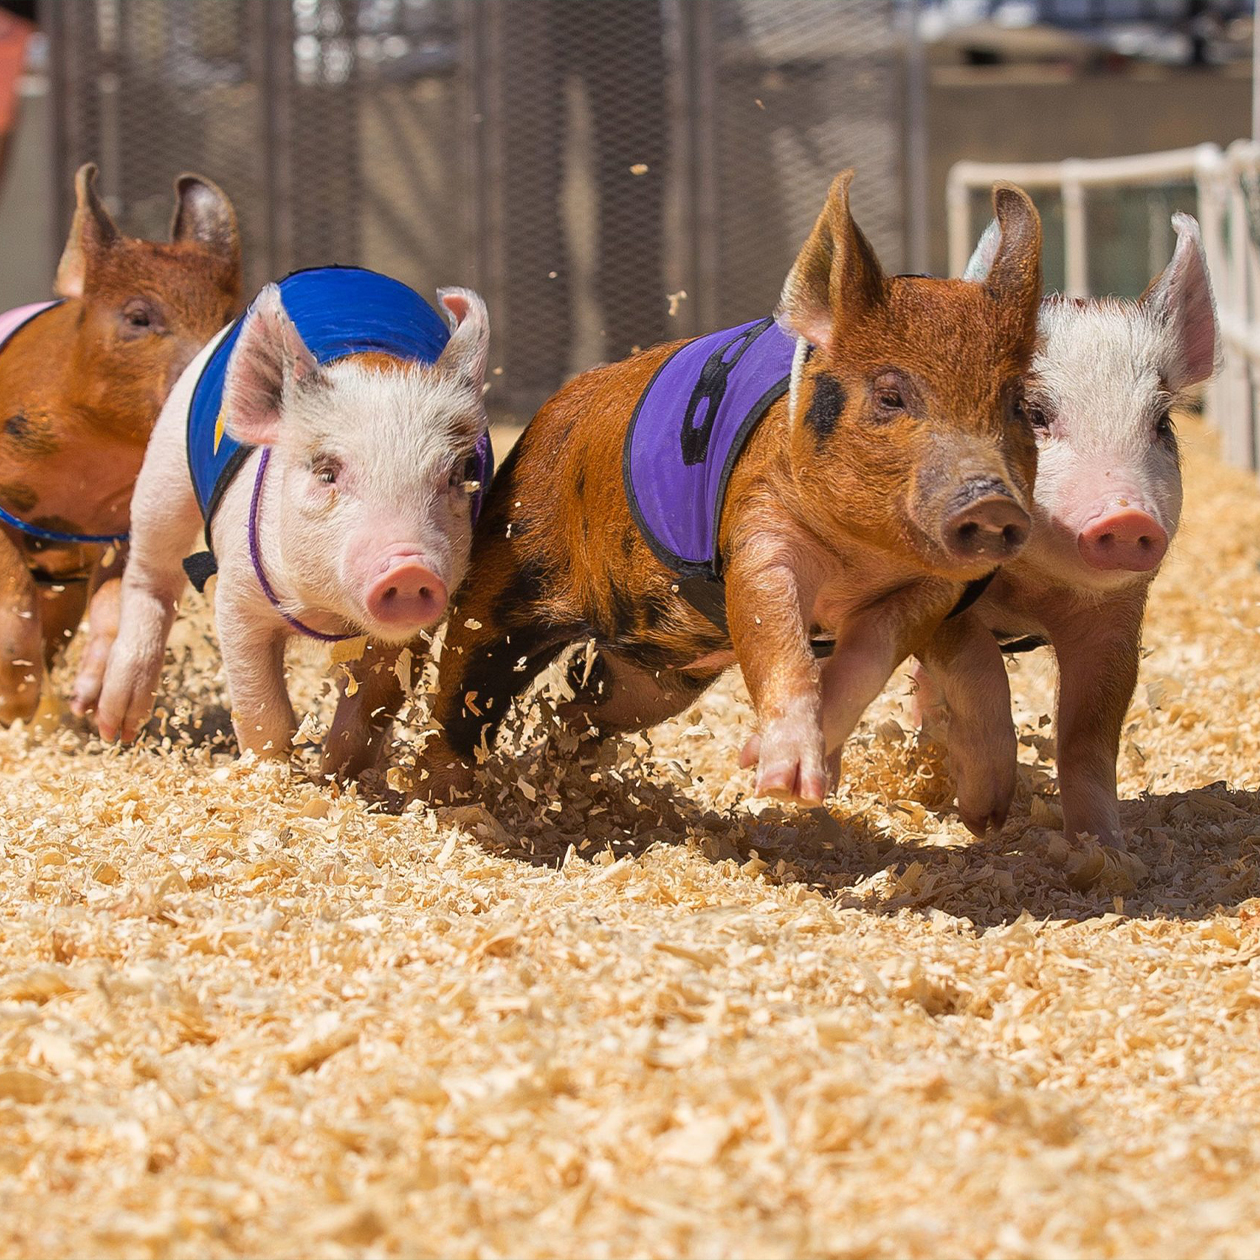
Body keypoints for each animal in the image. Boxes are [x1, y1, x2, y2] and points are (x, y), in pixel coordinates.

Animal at [0, 162, 240, 725]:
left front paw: (96, 709)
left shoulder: (119, 526)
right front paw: (18, 704)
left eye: (229, 319)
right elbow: (12, 592)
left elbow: (115, 602)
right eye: (138, 318)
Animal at [81, 267, 493, 757]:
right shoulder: (238, 593)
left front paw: (336, 769)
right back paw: (116, 729)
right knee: (150, 574)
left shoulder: (413, 632)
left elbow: (366, 713)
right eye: (327, 472)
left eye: (455, 476)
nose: (409, 567)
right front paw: (274, 768)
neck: (325, 614)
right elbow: (262, 710)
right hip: (164, 469)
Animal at [322, 171, 1045, 815]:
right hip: (506, 581)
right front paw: (781, 784)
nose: (991, 500)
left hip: (658, 681)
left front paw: (793, 778)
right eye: (892, 395)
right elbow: (773, 627)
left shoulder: (927, 593)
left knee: (583, 704)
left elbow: (867, 660)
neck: (858, 564)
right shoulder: (756, 527)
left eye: (1020, 406)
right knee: (465, 696)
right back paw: (447, 799)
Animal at [913, 212, 1218, 847]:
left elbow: (1089, 732)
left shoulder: (1115, 618)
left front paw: (1104, 850)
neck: (1029, 594)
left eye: (1161, 422)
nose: (1126, 515)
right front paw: (984, 819)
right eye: (1033, 414)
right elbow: (978, 666)